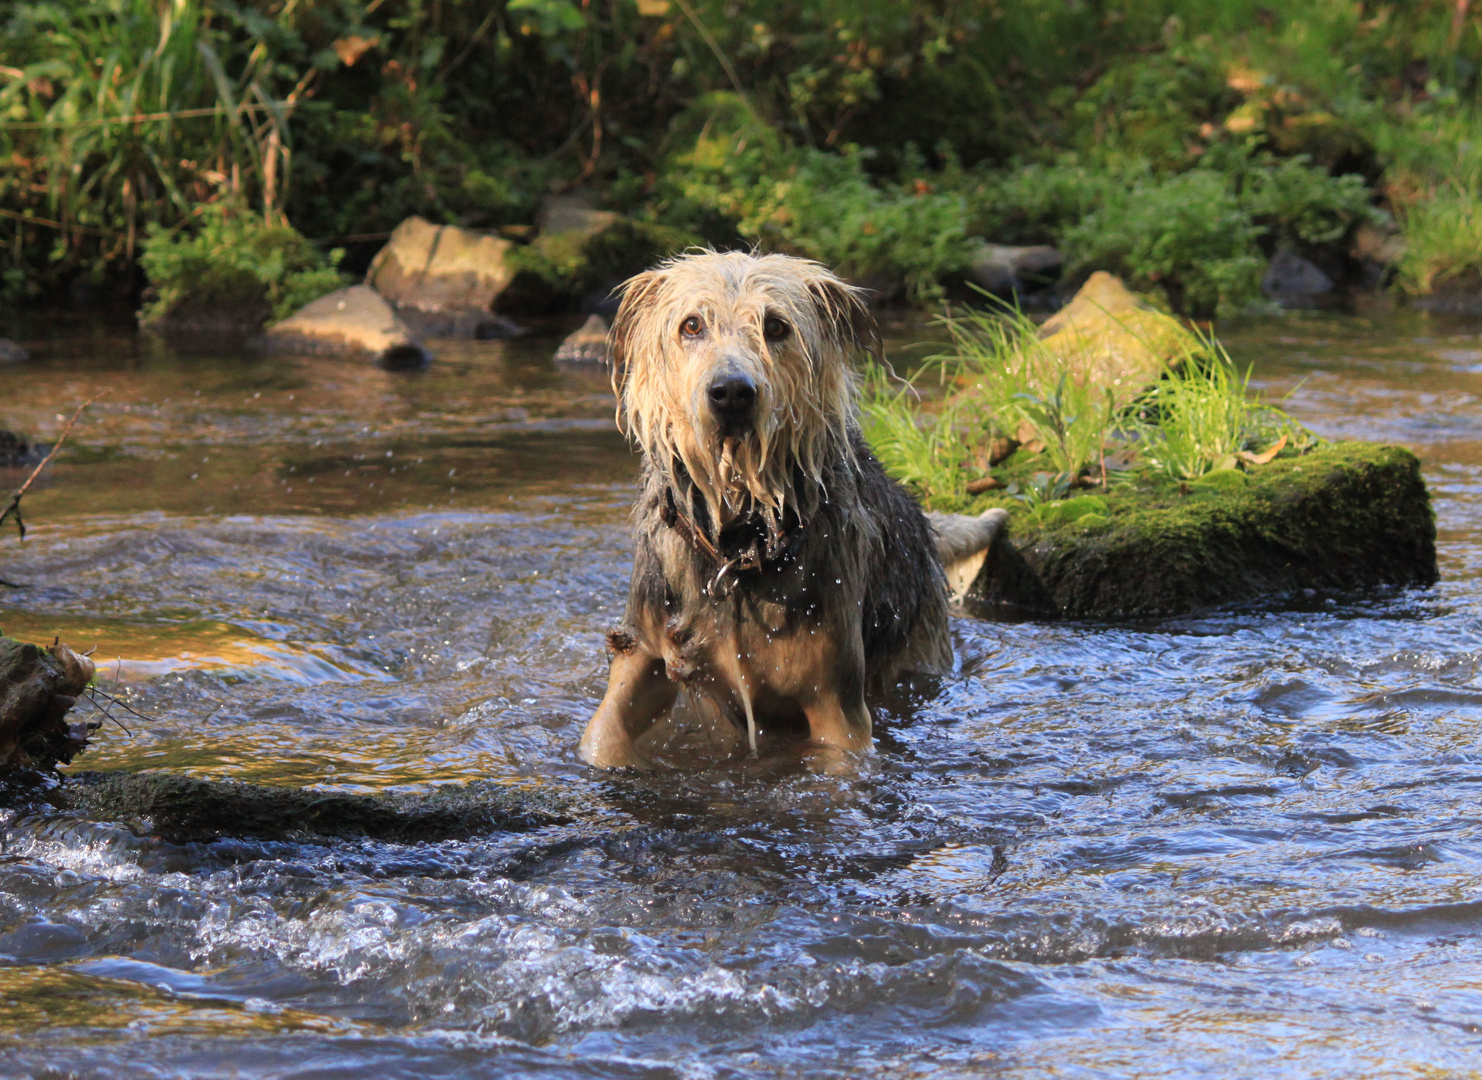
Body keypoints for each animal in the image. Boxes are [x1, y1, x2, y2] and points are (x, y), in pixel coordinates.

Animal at [577, 250, 1007, 764]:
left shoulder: (835, 699)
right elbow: (605, 733)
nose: (731, 392)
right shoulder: (644, 645)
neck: (740, 541)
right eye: (692, 325)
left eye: (776, 326)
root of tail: (921, 518)